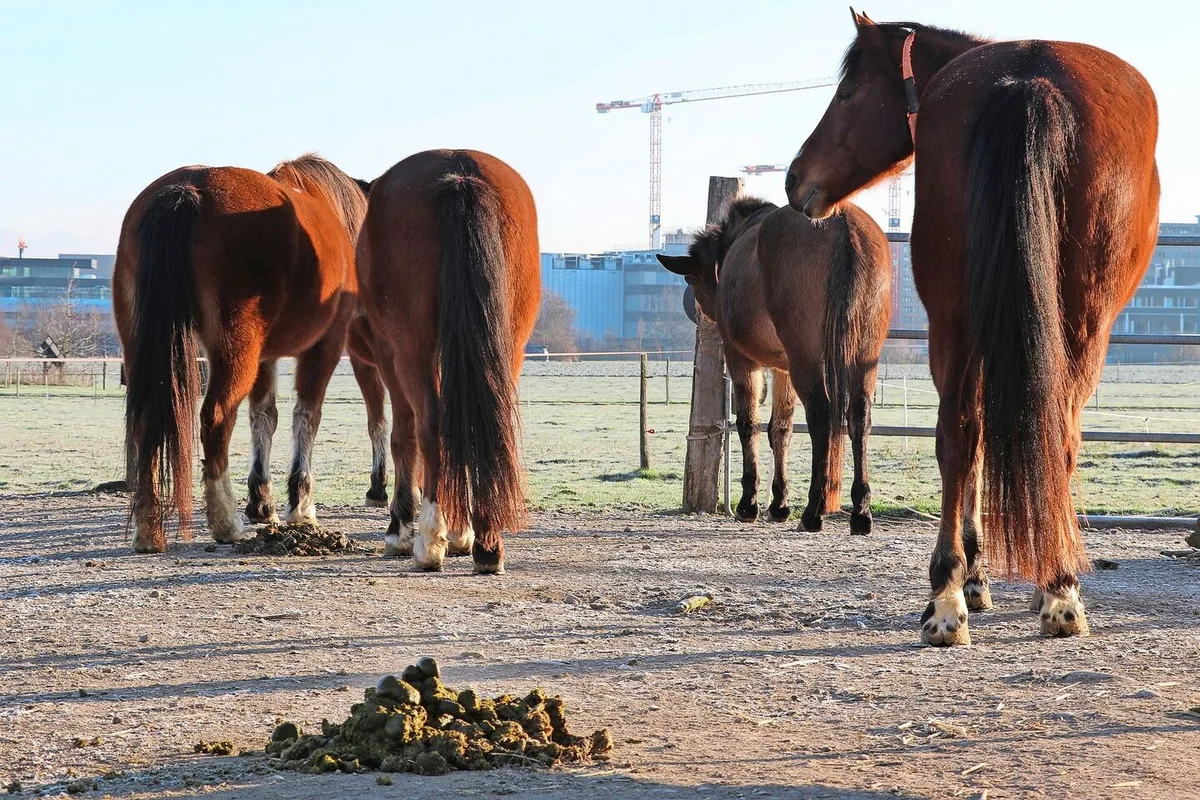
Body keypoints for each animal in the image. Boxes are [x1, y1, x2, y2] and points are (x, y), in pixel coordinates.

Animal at [114, 154, 369, 553]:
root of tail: (189, 190)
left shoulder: (265, 356)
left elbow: (264, 416)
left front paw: (264, 504)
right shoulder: (324, 345)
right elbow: (306, 416)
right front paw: (301, 507)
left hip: (143, 346)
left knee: (145, 422)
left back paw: (148, 529)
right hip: (236, 350)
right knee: (216, 417)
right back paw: (224, 523)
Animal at [356, 149, 540, 574]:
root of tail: (458, 175)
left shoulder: (389, 357)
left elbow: (403, 437)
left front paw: (401, 531)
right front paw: (460, 532)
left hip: (411, 350)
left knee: (431, 426)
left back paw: (428, 541)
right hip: (509, 345)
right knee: (487, 422)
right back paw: (486, 542)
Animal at [657, 197, 891, 534]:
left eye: (692, 278)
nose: (702, 311)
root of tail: (841, 221)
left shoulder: (742, 360)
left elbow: (748, 424)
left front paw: (749, 504)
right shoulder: (784, 369)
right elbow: (780, 428)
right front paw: (779, 504)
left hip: (806, 355)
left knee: (821, 414)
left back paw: (813, 510)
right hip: (863, 353)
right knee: (860, 416)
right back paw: (861, 511)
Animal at [785, 11, 1159, 644]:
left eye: (848, 91)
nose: (794, 180)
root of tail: (1028, 80)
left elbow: (978, 441)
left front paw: (977, 579)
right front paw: (987, 578)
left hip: (965, 324)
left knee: (966, 435)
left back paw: (959, 596)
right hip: (1074, 324)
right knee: (1038, 433)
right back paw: (1046, 588)